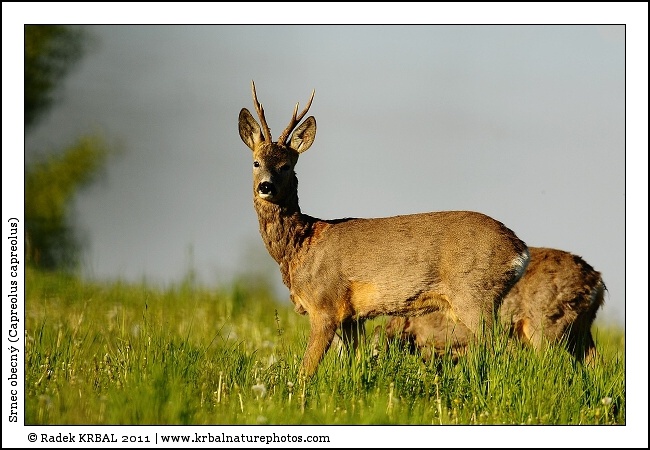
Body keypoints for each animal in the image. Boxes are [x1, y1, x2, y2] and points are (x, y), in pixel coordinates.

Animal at [238, 81, 531, 377]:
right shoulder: (351, 317)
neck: (301, 246)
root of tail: (519, 250)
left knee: (499, 349)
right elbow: (354, 362)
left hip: (475, 293)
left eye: (286, 165)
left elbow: (306, 370)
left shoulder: (325, 304)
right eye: (256, 162)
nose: (266, 186)